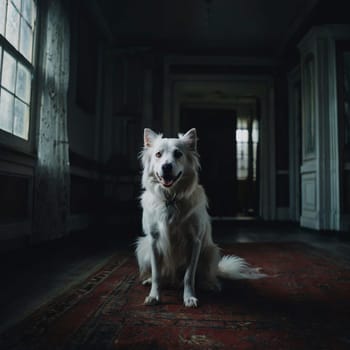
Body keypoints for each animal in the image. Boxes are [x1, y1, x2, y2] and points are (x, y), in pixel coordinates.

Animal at [137, 128, 266, 306]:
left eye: (178, 154)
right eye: (158, 154)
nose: (166, 167)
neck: (171, 198)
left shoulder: (194, 242)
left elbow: (189, 276)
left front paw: (189, 297)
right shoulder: (154, 241)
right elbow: (157, 273)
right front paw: (154, 295)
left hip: (210, 252)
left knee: (205, 276)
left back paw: (209, 285)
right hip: (143, 249)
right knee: (160, 275)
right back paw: (151, 280)